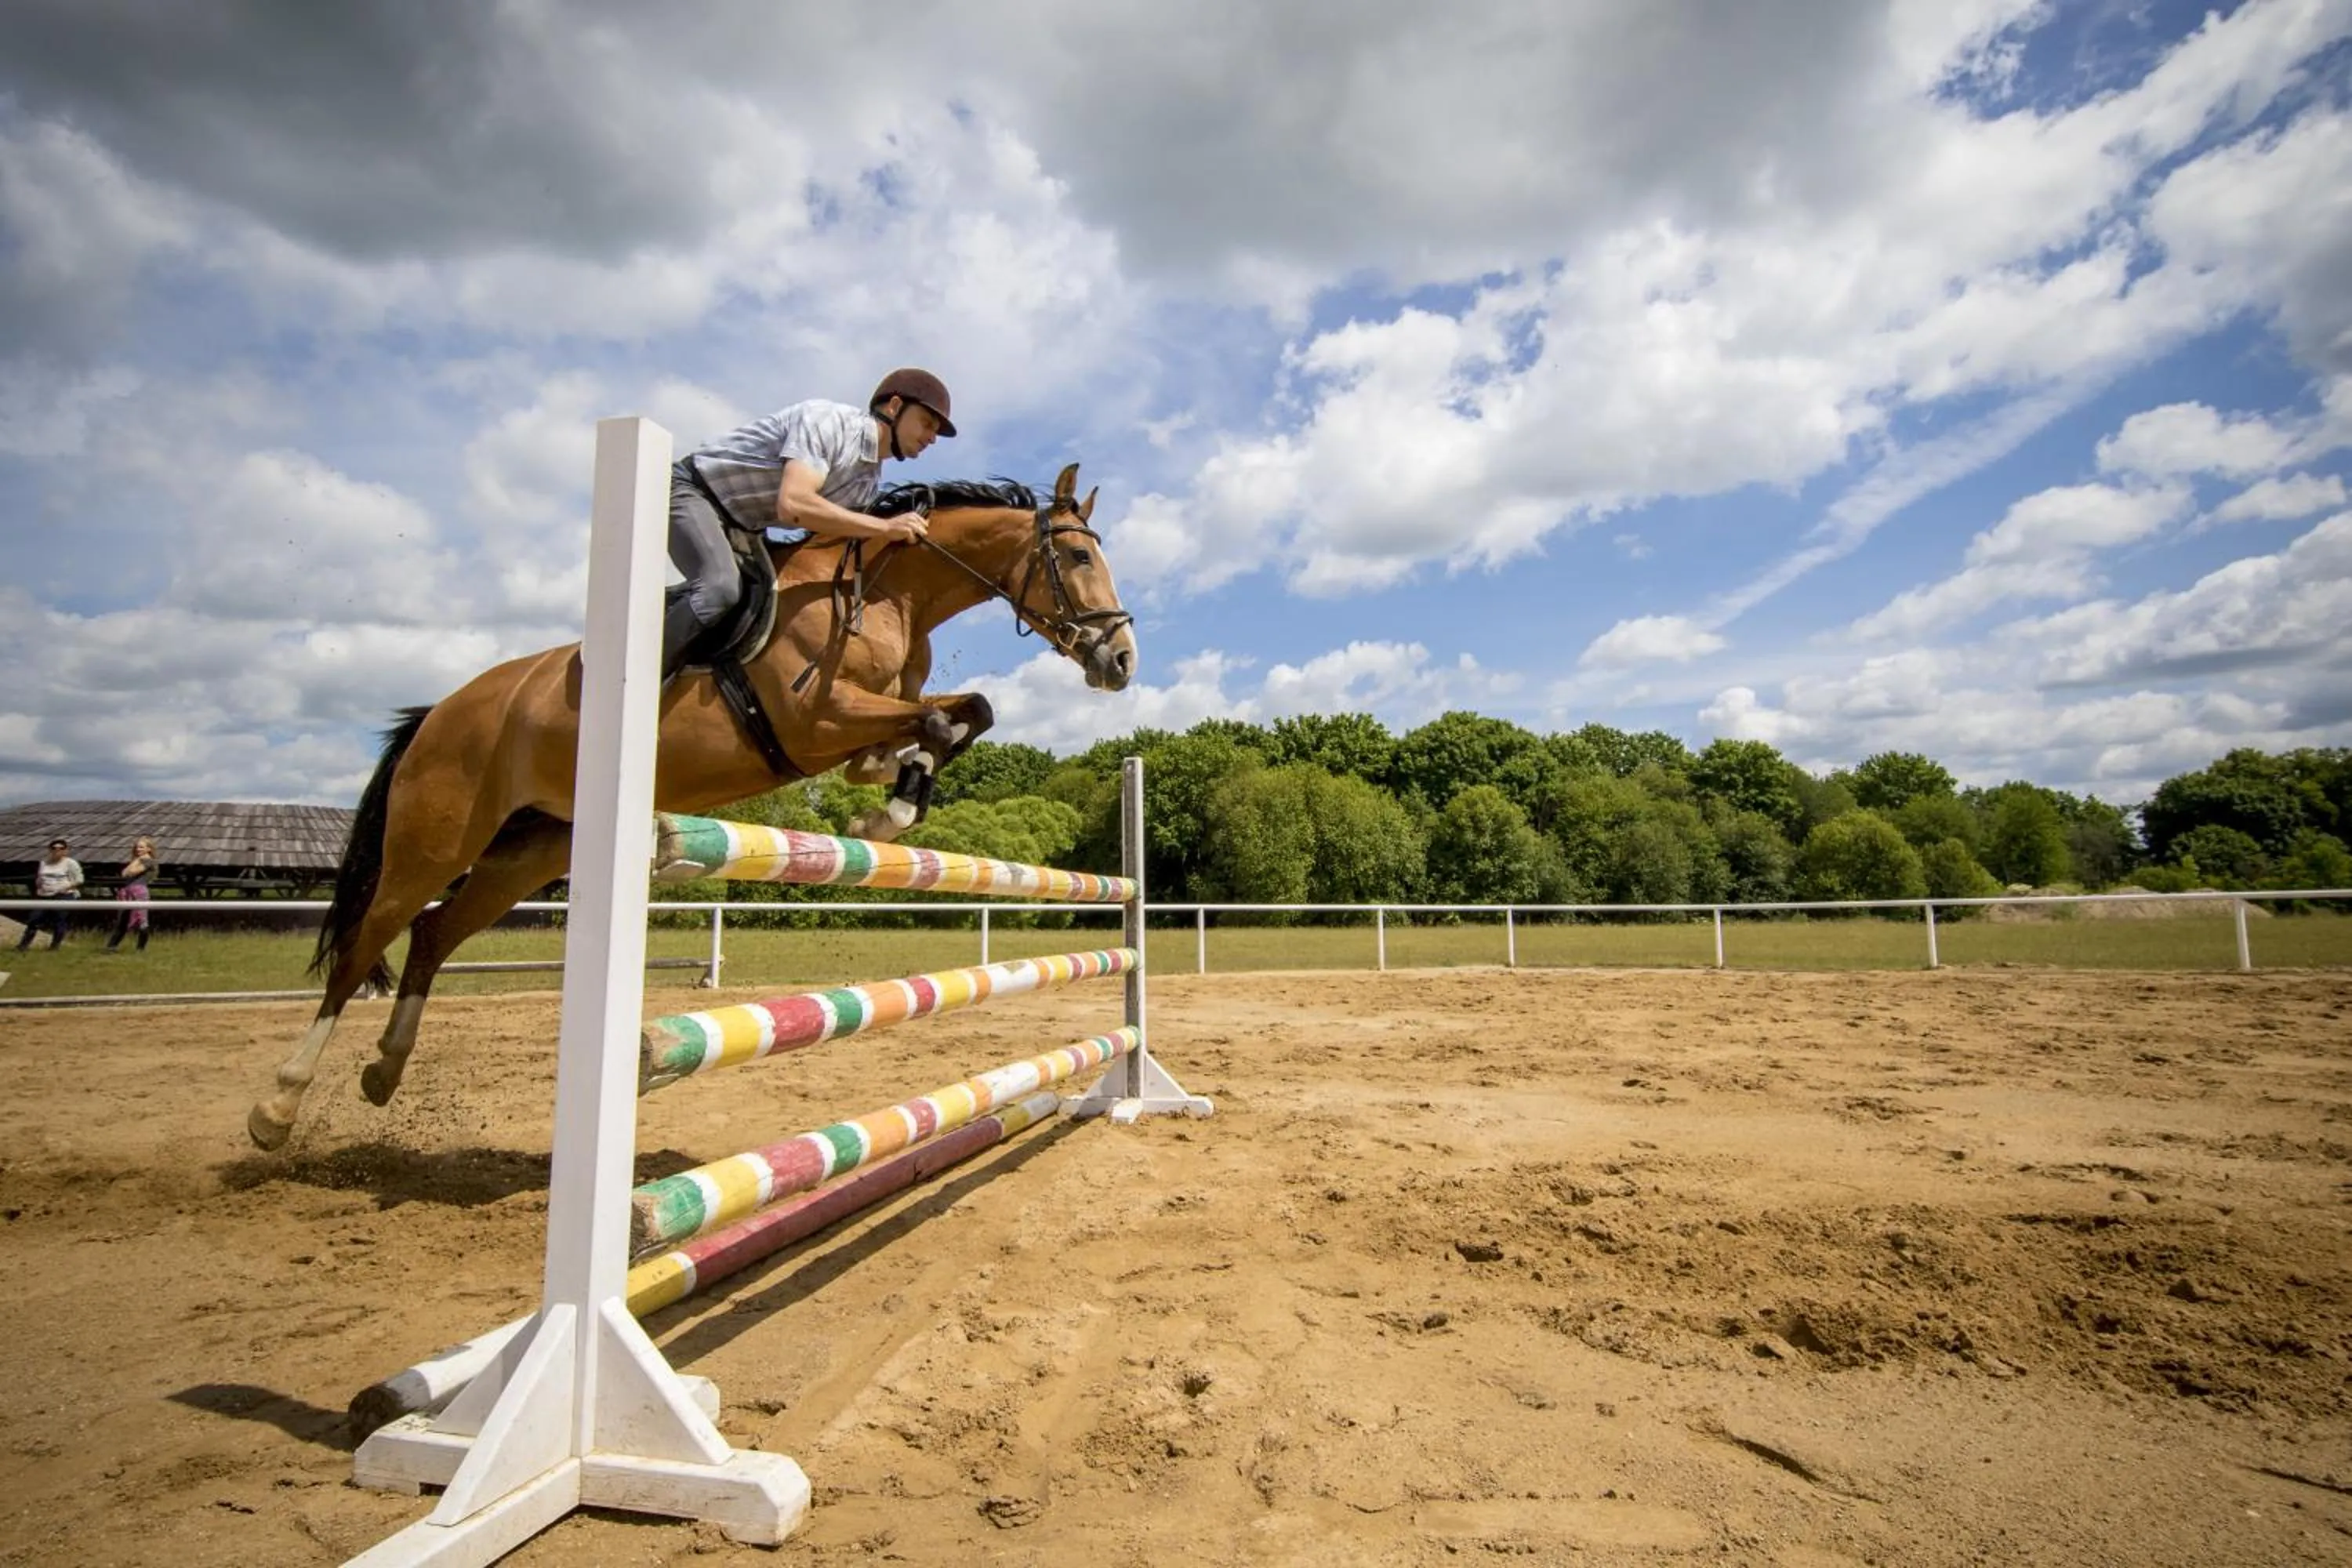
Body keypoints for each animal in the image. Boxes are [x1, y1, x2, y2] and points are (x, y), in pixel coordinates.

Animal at [246, 463, 1136, 1151]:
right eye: (1078, 553)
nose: (1122, 659)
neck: (890, 593)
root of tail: (440, 711)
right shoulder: (815, 717)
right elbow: (951, 716)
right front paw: (887, 806)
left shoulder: (866, 716)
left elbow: (959, 715)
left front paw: (890, 795)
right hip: (433, 842)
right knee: (363, 948)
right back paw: (276, 1108)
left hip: (530, 849)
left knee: (432, 936)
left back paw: (383, 1073)